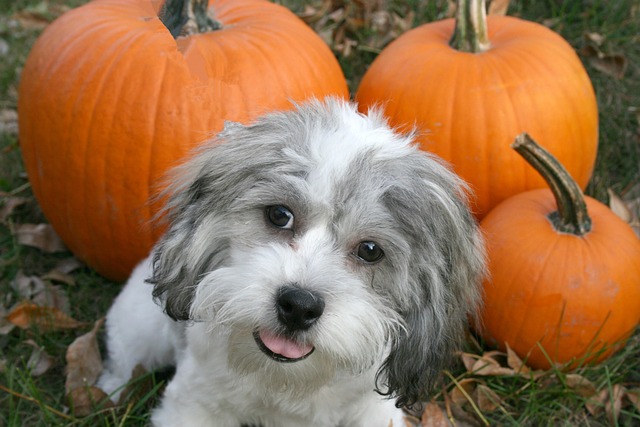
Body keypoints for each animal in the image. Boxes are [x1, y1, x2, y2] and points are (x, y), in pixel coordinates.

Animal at [96, 98, 484, 426]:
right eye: (279, 215)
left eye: (371, 250)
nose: (299, 306)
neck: (285, 379)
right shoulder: (194, 403)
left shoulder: (373, 411)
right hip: (140, 326)